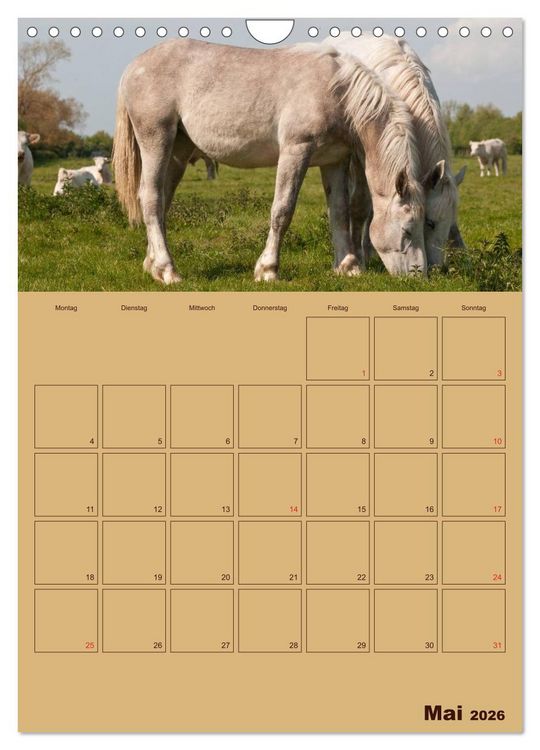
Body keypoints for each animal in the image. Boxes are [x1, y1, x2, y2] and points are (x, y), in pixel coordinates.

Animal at [112, 39, 428, 284]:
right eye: (407, 229)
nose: (419, 275)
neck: (337, 91)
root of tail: (133, 67)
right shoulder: (295, 151)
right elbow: (282, 210)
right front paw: (268, 270)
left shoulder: (334, 161)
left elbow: (339, 212)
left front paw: (347, 267)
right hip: (156, 139)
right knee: (150, 198)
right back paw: (168, 271)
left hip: (178, 150)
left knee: (162, 200)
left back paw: (152, 265)